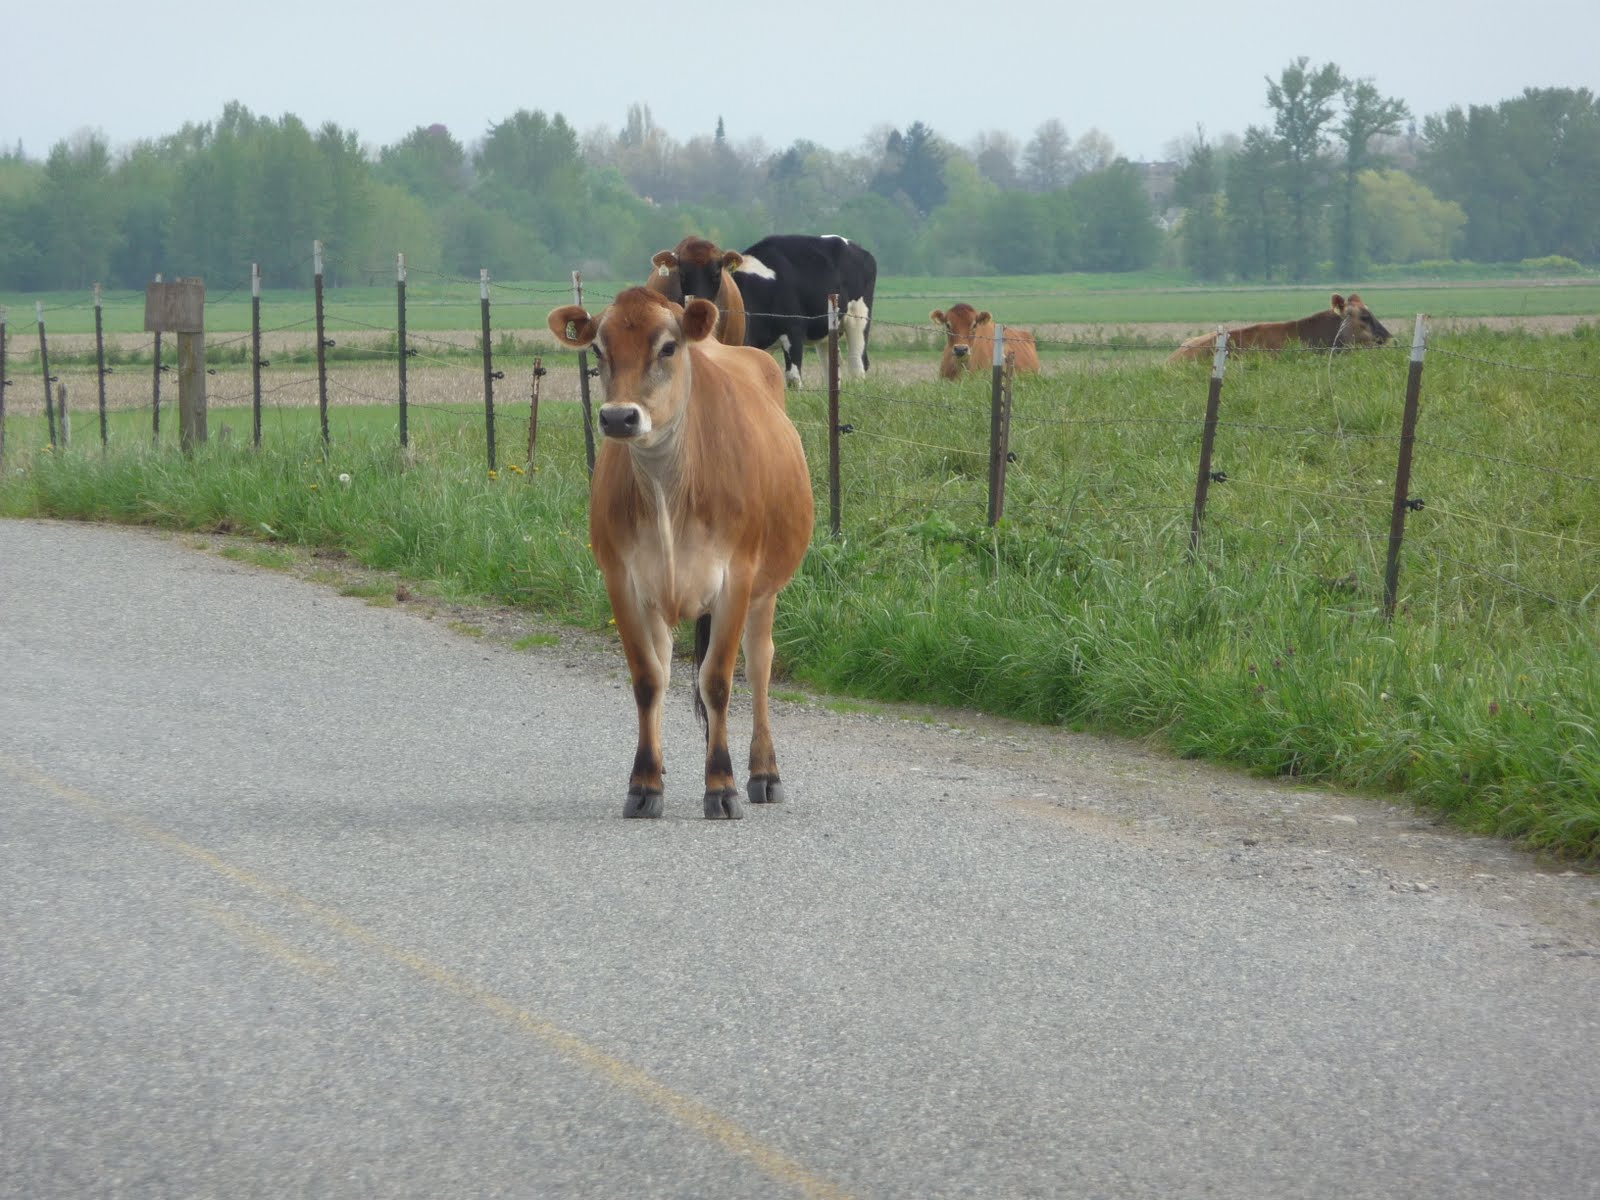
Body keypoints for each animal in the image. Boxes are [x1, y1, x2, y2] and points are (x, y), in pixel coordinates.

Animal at [544, 286, 812, 825]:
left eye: (667, 347)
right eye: (598, 350)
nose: (619, 417)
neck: (669, 485)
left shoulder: (737, 578)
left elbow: (718, 682)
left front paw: (722, 786)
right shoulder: (621, 579)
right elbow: (648, 677)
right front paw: (644, 784)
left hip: (767, 588)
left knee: (760, 663)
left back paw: (764, 773)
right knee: (666, 667)